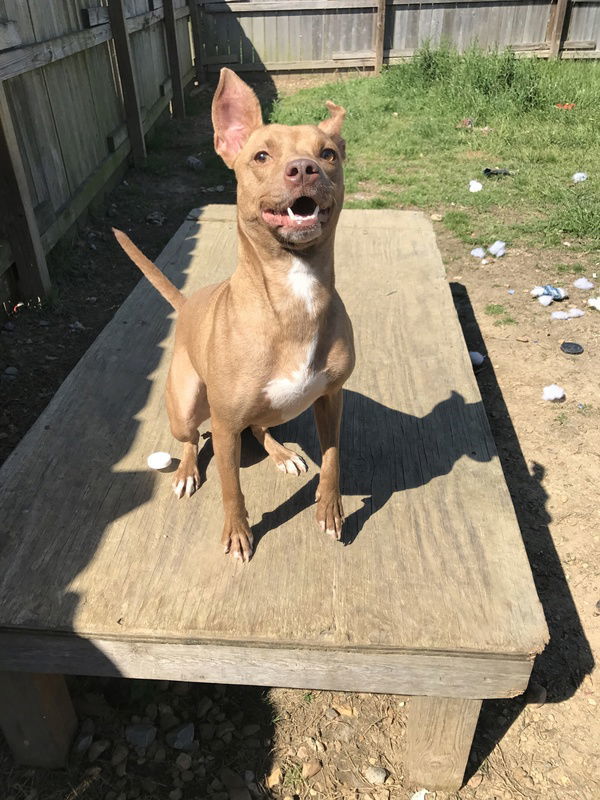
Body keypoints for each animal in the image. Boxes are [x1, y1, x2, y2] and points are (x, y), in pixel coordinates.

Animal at [115, 70, 354, 564]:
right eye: (261, 155)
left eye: (328, 154)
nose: (305, 168)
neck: (294, 294)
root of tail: (189, 304)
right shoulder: (224, 428)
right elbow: (232, 488)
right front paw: (238, 533)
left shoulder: (331, 398)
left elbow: (333, 460)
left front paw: (330, 511)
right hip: (186, 404)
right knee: (191, 439)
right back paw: (187, 470)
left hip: (275, 409)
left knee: (260, 426)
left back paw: (282, 452)